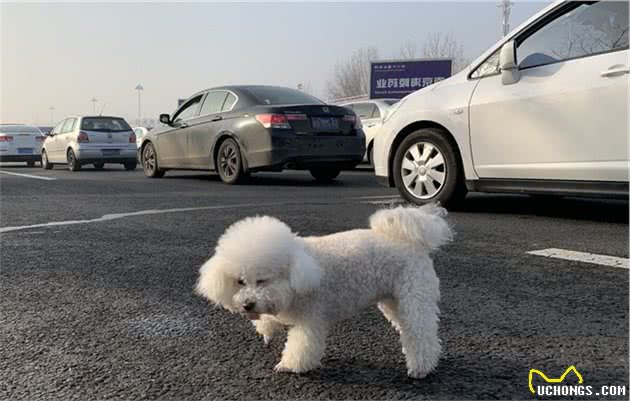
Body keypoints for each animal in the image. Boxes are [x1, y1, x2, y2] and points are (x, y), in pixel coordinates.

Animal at [195, 205, 452, 376]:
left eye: (262, 280)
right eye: (240, 281)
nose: (247, 305)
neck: (297, 269)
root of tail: (412, 243)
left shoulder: (310, 317)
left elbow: (302, 344)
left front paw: (290, 365)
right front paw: (266, 328)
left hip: (414, 296)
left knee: (420, 332)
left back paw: (421, 368)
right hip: (393, 301)